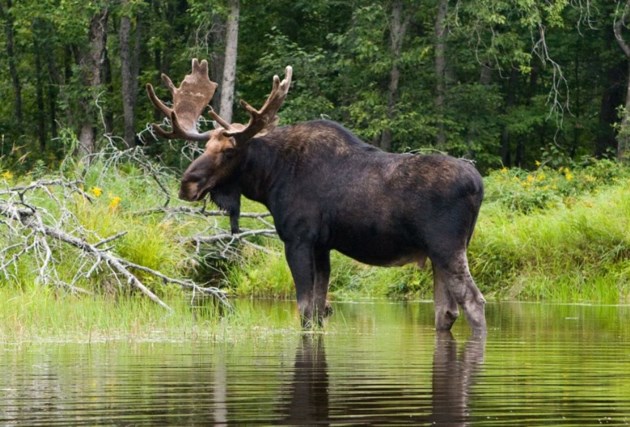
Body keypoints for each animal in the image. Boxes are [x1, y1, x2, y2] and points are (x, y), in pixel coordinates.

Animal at [148, 59, 488, 334]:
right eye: (205, 147)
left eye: (229, 151)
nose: (187, 184)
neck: (269, 179)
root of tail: (479, 185)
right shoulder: (323, 245)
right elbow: (320, 309)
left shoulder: (298, 238)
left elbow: (305, 310)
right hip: (440, 253)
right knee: (446, 312)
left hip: (446, 246)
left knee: (474, 302)